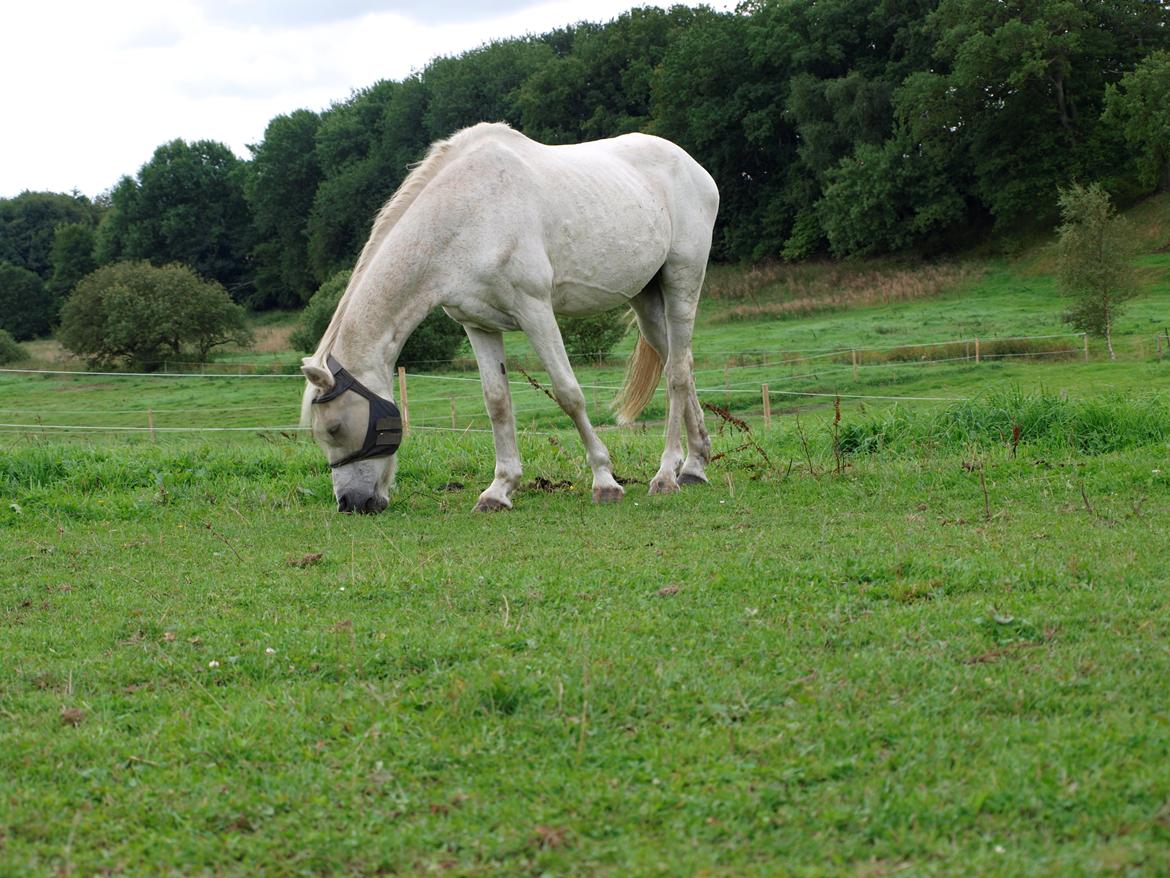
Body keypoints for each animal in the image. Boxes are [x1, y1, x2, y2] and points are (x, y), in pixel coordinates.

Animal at [299, 120, 720, 512]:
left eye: (335, 428)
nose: (351, 503)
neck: (470, 211)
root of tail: (694, 167)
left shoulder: (535, 310)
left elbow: (568, 393)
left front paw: (604, 480)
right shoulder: (477, 325)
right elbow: (497, 402)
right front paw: (499, 490)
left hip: (682, 281)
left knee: (676, 374)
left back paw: (666, 475)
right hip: (646, 299)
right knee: (682, 364)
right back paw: (694, 466)